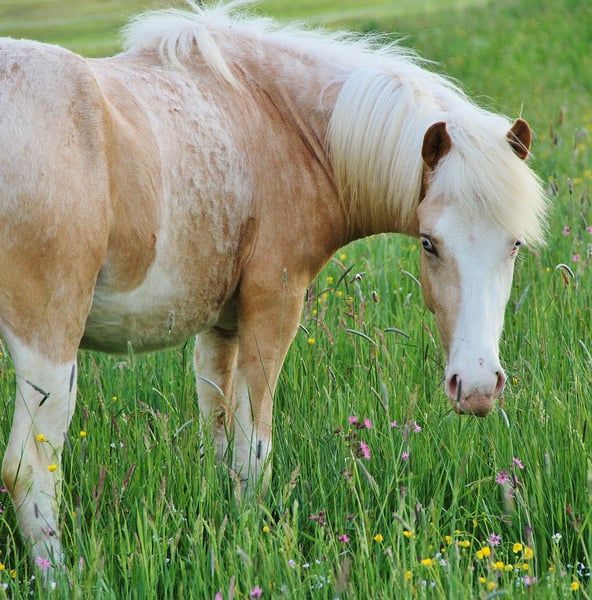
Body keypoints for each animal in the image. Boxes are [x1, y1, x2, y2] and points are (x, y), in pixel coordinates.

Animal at [0, 0, 547, 571]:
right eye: (429, 243)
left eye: (514, 245)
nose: (479, 387)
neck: (281, 123)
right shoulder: (273, 309)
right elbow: (254, 450)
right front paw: (252, 541)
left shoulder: (220, 327)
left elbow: (218, 433)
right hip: (49, 345)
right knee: (29, 469)